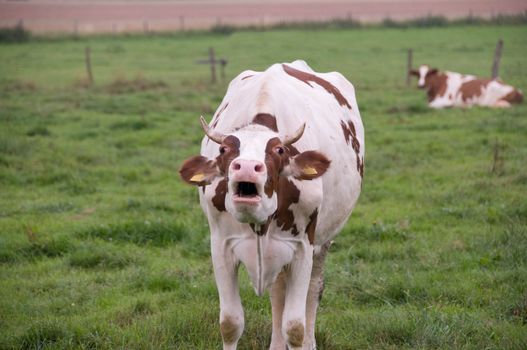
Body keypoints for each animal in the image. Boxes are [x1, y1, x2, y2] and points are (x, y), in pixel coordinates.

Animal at [179, 61, 366, 348]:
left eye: (279, 150)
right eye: (224, 150)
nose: (246, 166)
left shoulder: (303, 247)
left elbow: (295, 326)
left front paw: (301, 338)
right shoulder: (220, 245)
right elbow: (230, 323)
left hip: (322, 241)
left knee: (314, 290)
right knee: (278, 292)